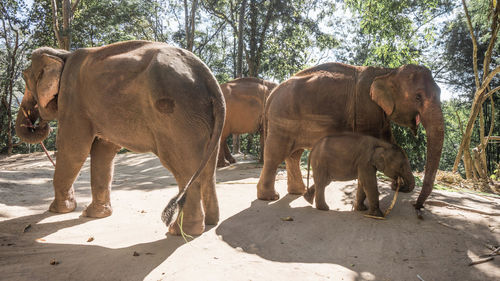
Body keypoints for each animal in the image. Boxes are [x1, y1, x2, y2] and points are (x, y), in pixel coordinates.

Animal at [15, 40, 226, 235]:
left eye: (25, 78)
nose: (38, 124)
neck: (62, 54)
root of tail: (207, 77)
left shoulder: (72, 98)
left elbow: (74, 149)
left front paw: (57, 210)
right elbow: (103, 151)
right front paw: (94, 214)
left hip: (177, 115)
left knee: (183, 168)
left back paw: (181, 231)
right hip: (202, 117)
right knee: (208, 169)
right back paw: (210, 223)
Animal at [260, 61, 444, 210]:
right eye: (418, 97)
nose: (417, 206)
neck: (388, 72)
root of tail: (272, 94)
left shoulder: (379, 113)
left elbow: (390, 142)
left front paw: (397, 185)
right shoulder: (366, 107)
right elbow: (374, 140)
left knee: (293, 155)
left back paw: (298, 192)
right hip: (283, 118)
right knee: (275, 154)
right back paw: (269, 197)